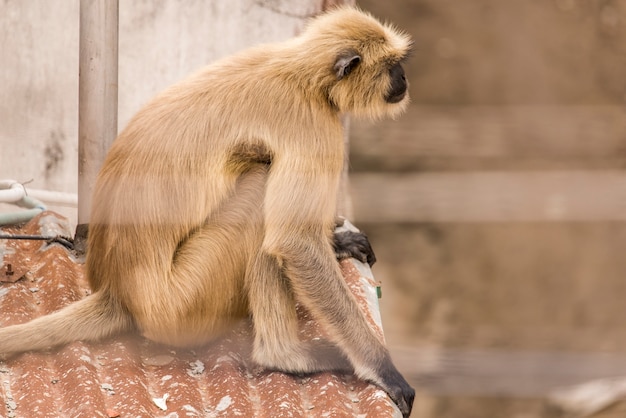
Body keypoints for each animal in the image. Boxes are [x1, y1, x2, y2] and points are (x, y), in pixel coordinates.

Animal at [0, 7, 414, 418]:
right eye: (392, 66)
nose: (404, 79)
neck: (300, 72)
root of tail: (119, 291)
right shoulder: (314, 125)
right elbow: (294, 243)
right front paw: (384, 370)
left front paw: (338, 243)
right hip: (184, 302)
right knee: (260, 184)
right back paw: (284, 356)